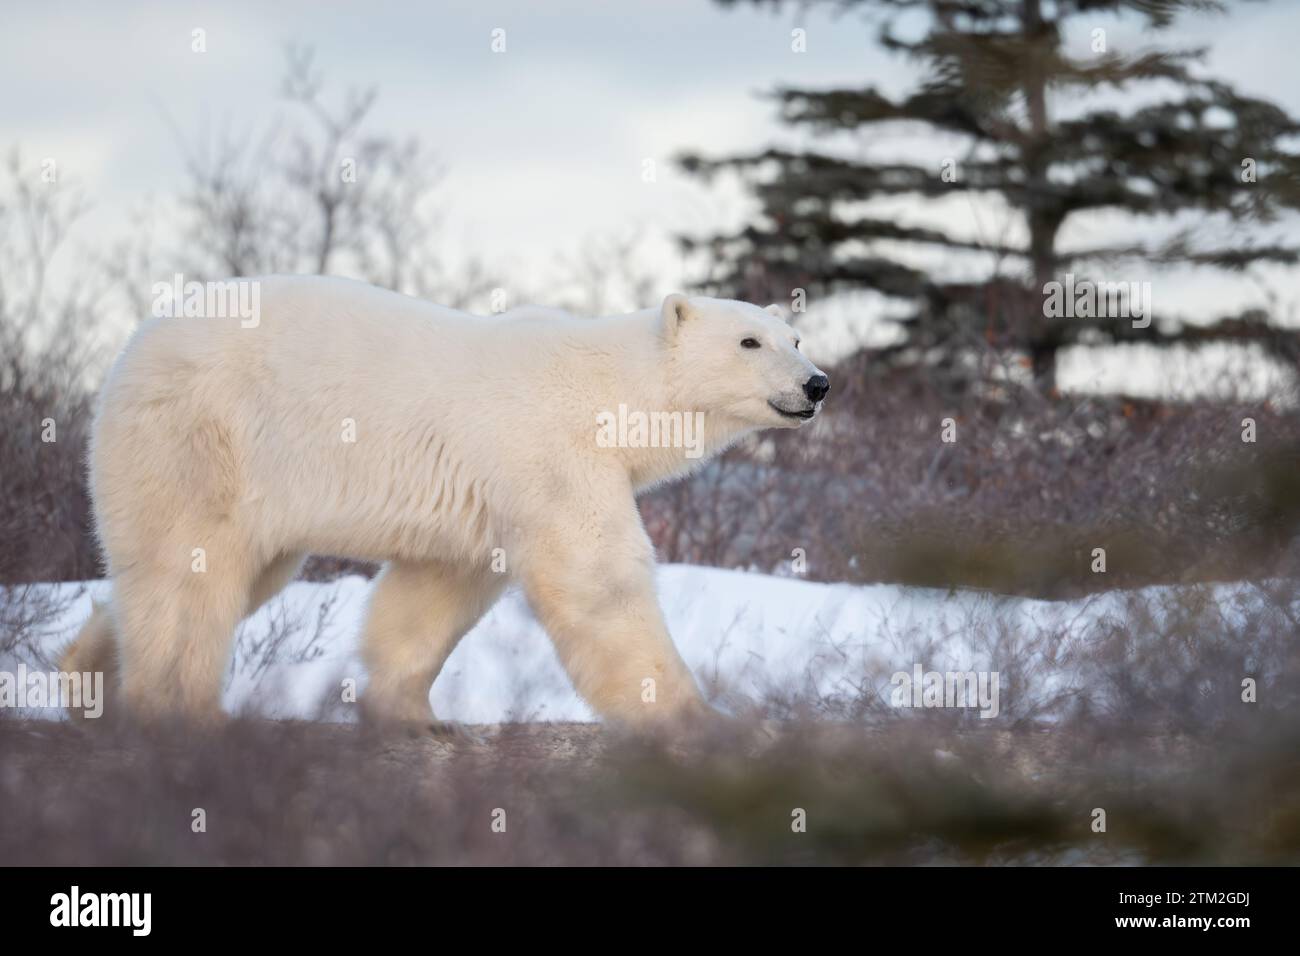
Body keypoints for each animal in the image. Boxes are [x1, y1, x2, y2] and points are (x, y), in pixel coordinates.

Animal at [61, 277, 826, 733]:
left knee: (230, 575)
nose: (817, 383)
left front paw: (410, 712)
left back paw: (88, 681)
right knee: (188, 572)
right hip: (199, 443)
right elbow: (599, 581)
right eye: (748, 341)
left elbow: (433, 593)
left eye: (795, 337)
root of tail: (132, 350)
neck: (608, 391)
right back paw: (178, 710)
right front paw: (701, 718)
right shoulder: (550, 457)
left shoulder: (483, 496)